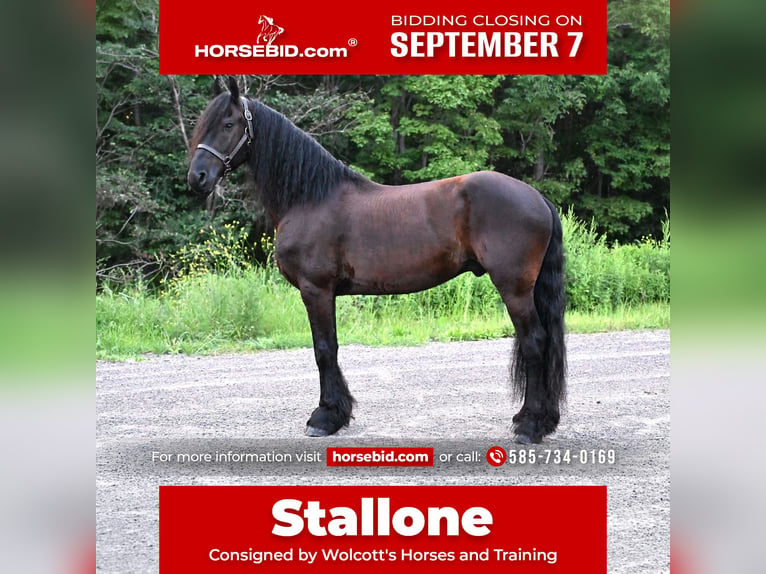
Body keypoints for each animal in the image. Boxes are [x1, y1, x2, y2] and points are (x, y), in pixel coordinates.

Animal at [187, 77, 567, 444]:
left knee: (535, 342)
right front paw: (337, 413)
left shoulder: (316, 290)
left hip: (514, 288)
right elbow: (329, 349)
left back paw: (531, 426)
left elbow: (324, 349)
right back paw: (534, 418)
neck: (311, 198)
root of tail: (537, 198)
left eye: (228, 123)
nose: (197, 178)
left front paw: (325, 418)